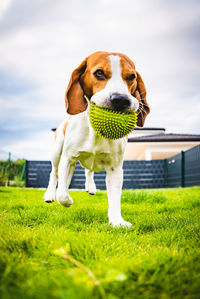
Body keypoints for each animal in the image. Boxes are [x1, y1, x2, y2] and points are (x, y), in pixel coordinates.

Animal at [44, 51, 150, 227]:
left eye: (131, 76)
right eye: (99, 73)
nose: (121, 99)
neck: (95, 132)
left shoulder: (115, 168)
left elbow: (115, 199)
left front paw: (117, 221)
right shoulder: (68, 158)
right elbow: (63, 195)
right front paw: (67, 200)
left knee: (87, 171)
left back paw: (90, 187)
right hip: (57, 151)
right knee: (55, 174)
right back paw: (50, 194)